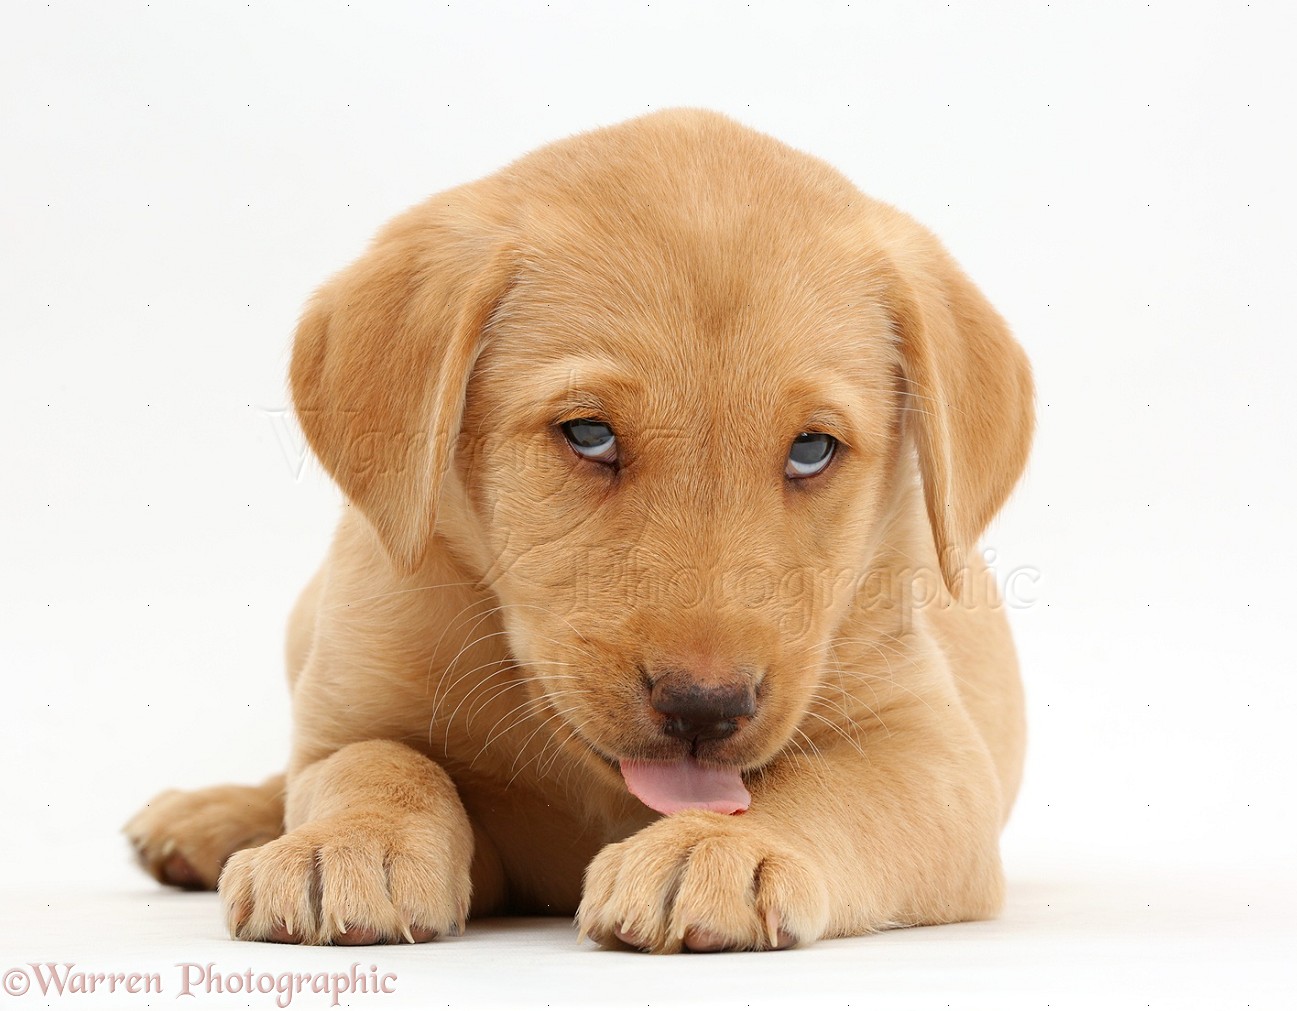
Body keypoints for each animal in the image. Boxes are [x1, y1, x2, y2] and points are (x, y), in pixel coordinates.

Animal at [125, 109, 1033, 953]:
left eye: (812, 449)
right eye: (589, 434)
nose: (704, 708)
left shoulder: (933, 758)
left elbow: (827, 792)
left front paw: (717, 845)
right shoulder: (351, 703)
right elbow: (373, 761)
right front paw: (346, 842)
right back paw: (213, 814)